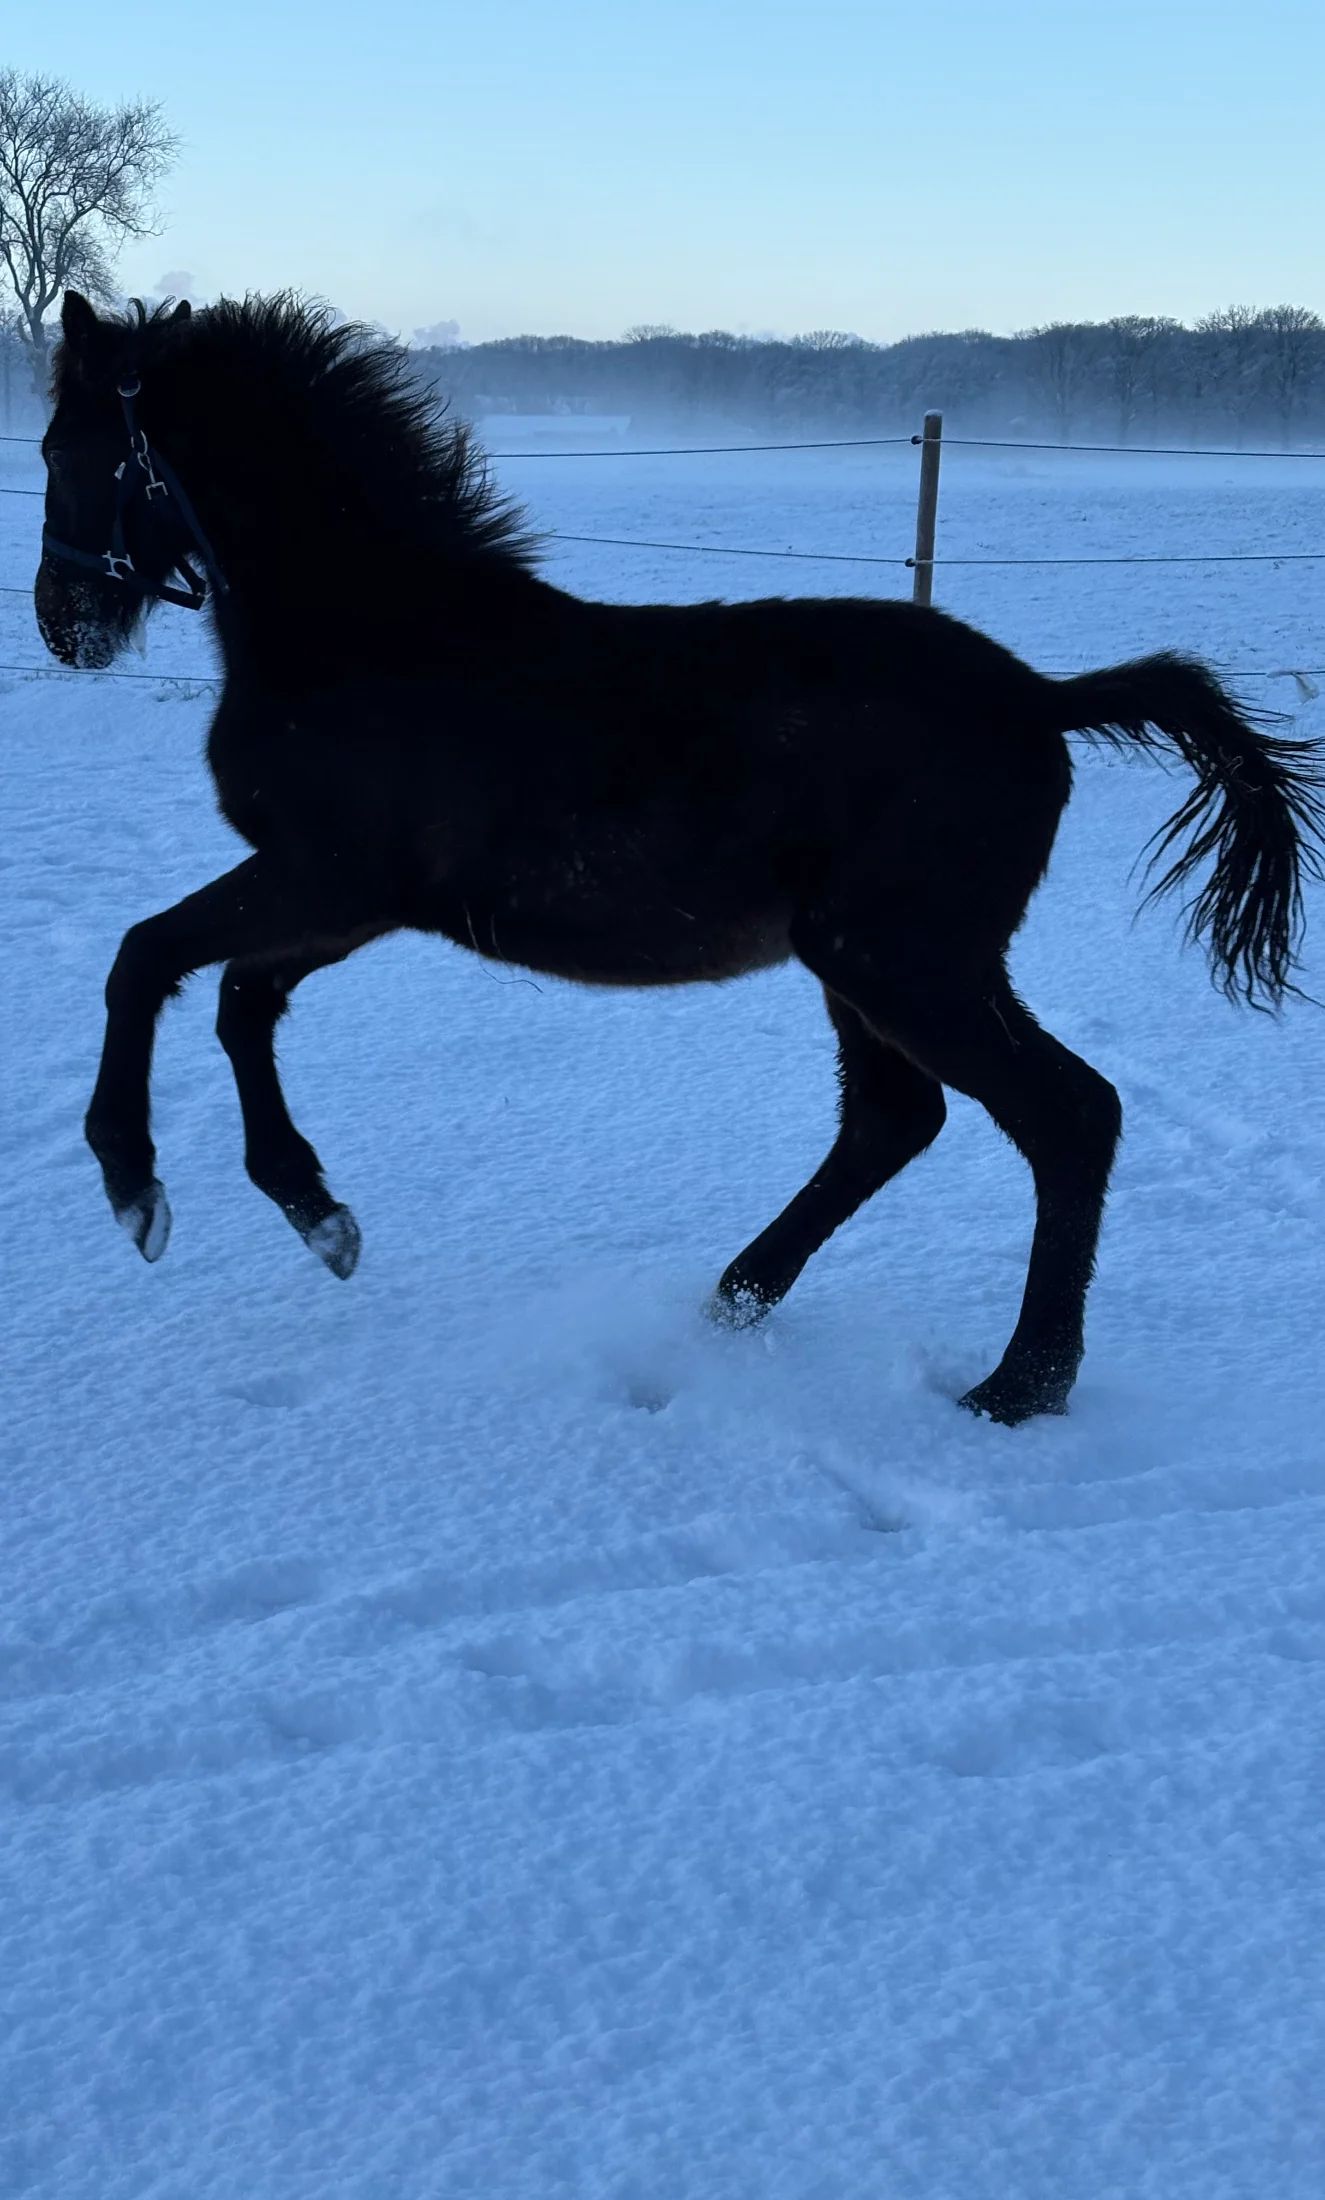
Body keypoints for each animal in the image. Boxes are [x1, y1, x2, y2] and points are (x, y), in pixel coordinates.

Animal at [33, 290, 1324, 1426]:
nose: (59, 622)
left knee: (1065, 1117)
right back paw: (732, 1303)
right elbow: (238, 1000)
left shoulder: (326, 876)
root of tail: (1040, 699)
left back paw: (1015, 1387)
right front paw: (317, 1213)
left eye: (65, 446)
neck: (372, 639)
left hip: (905, 960)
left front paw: (134, 1186)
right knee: (895, 1119)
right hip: (862, 962)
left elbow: (145, 958)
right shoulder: (355, 900)